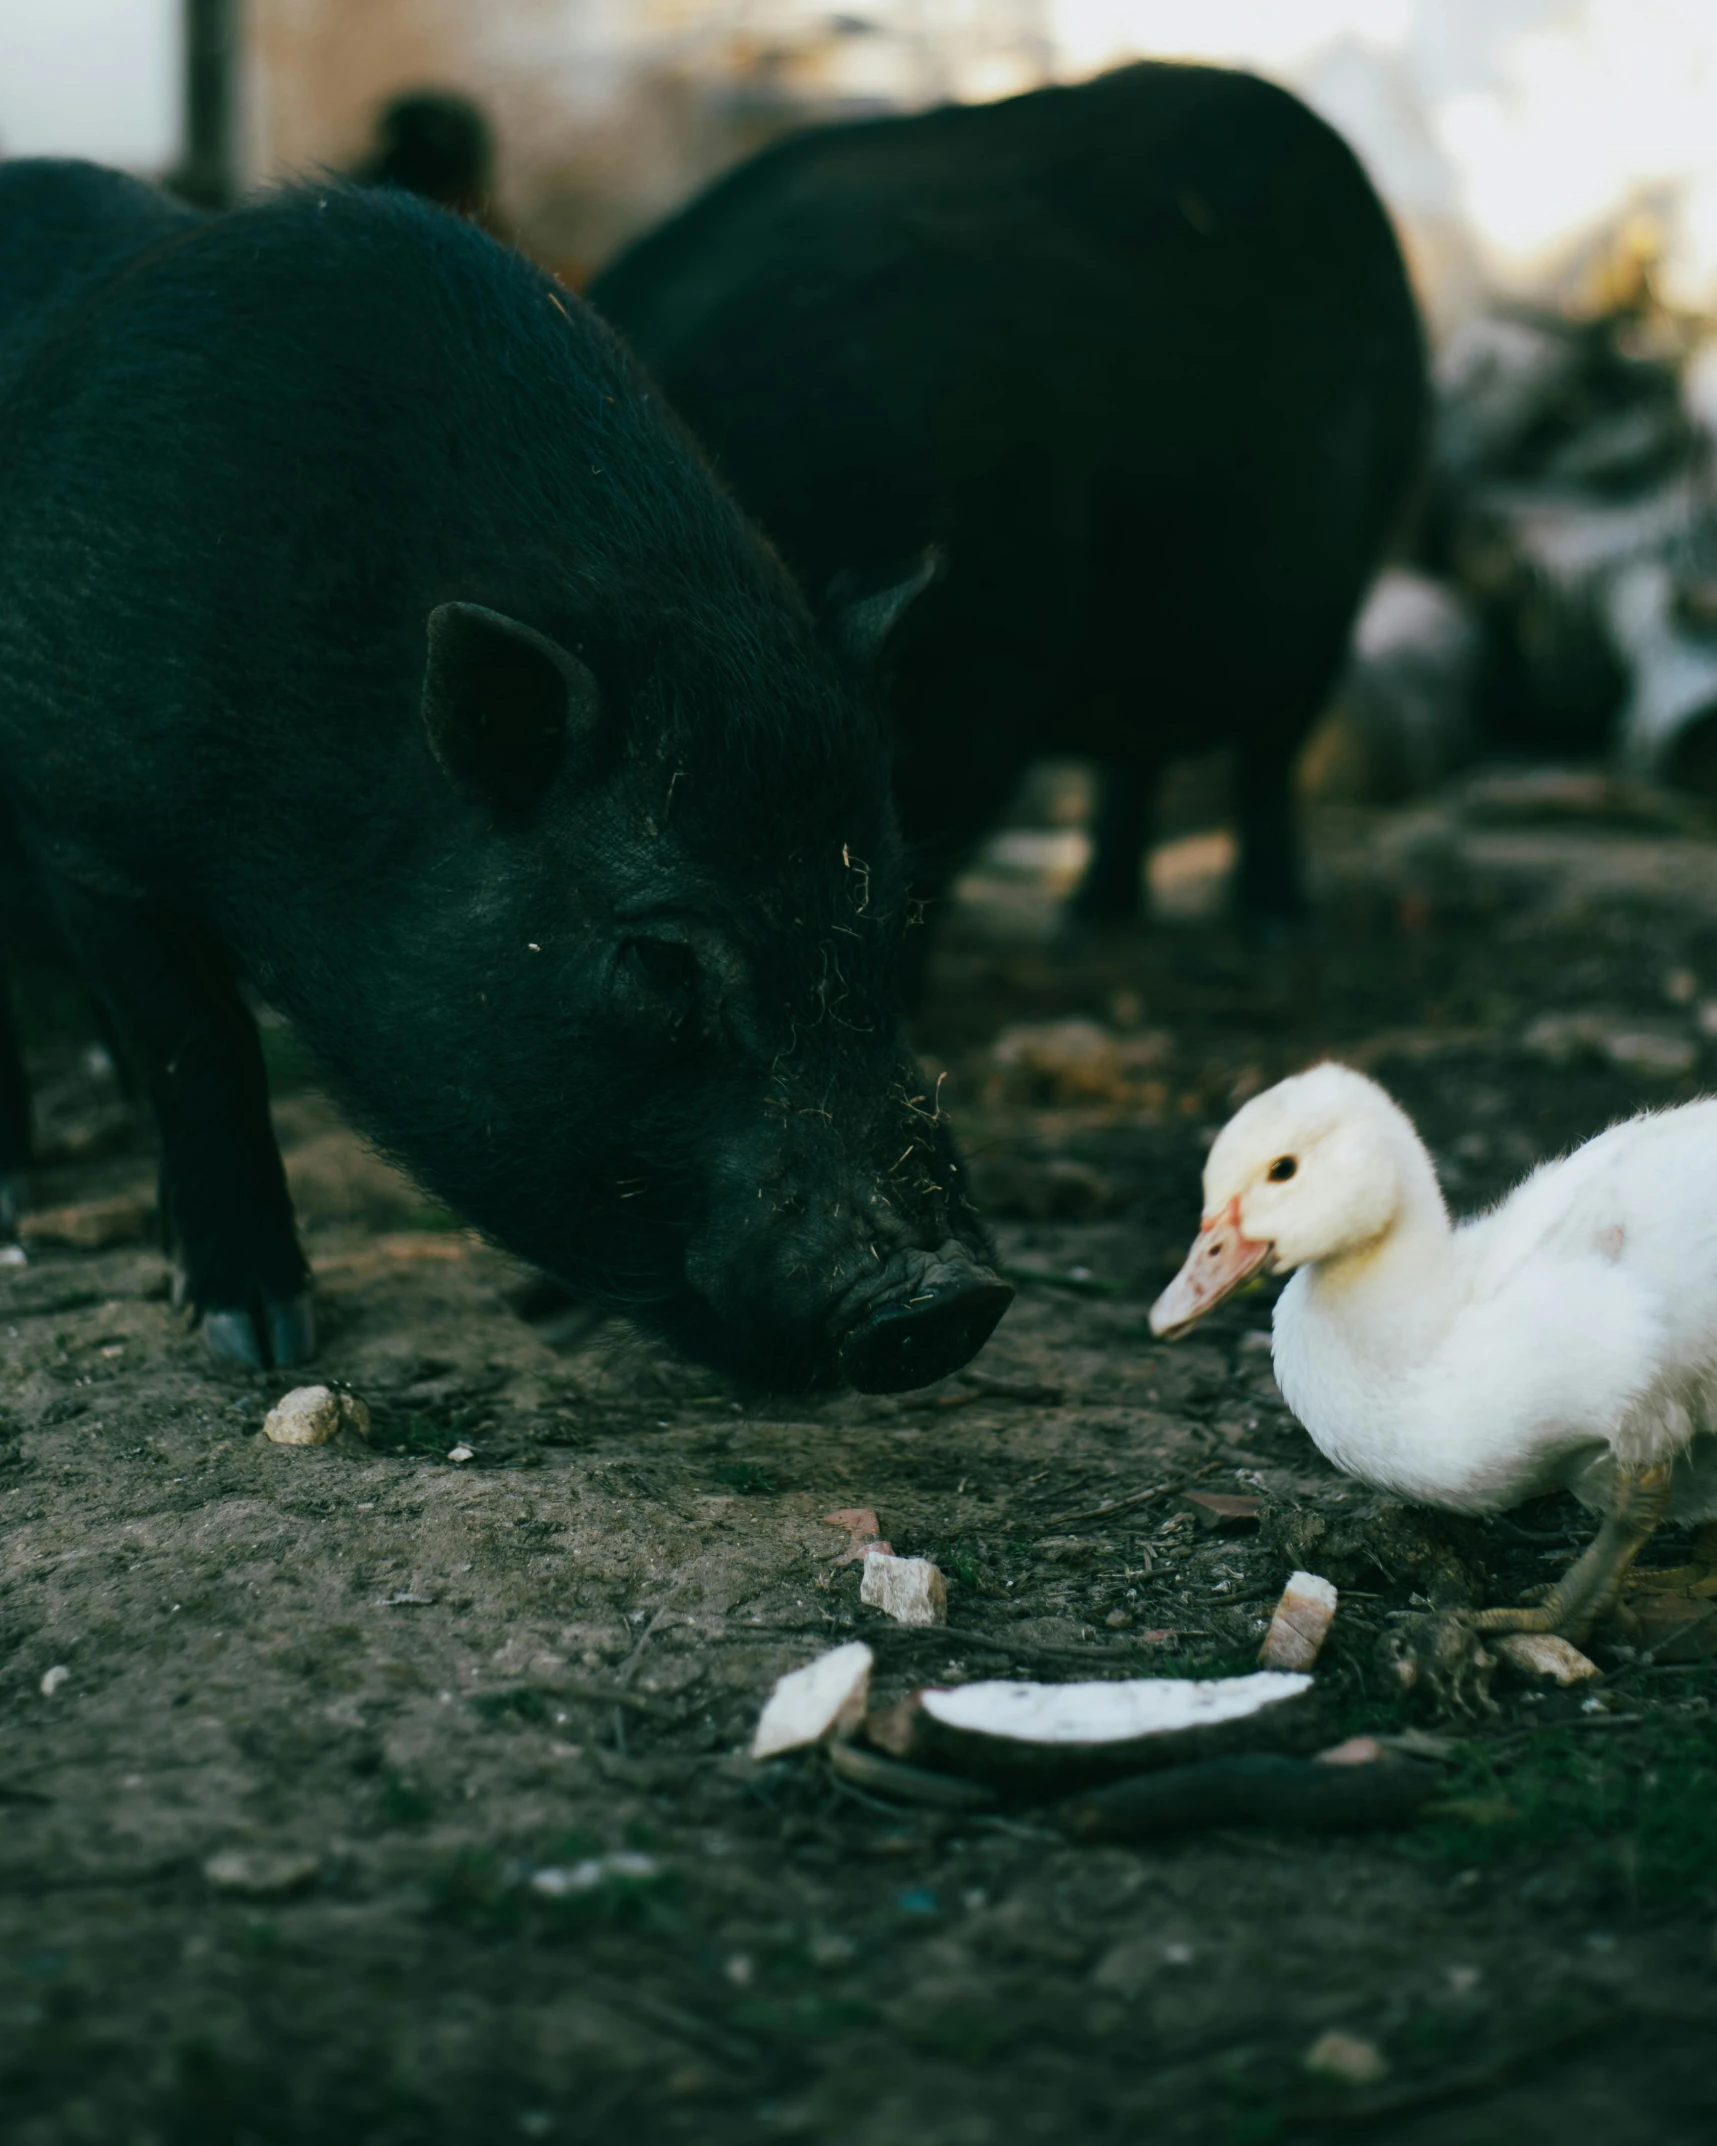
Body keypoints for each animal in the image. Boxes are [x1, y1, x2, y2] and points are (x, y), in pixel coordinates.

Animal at [0, 158, 1004, 1382]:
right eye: (659, 955)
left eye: (890, 919)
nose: (952, 1296)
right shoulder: (85, 827)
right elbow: (201, 1048)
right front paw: (260, 1340)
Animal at [592, 62, 1425, 948]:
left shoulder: (995, 658)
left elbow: (924, 844)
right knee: (1132, 767)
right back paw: (1094, 917)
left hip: (1339, 585)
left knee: (1269, 755)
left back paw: (1272, 922)